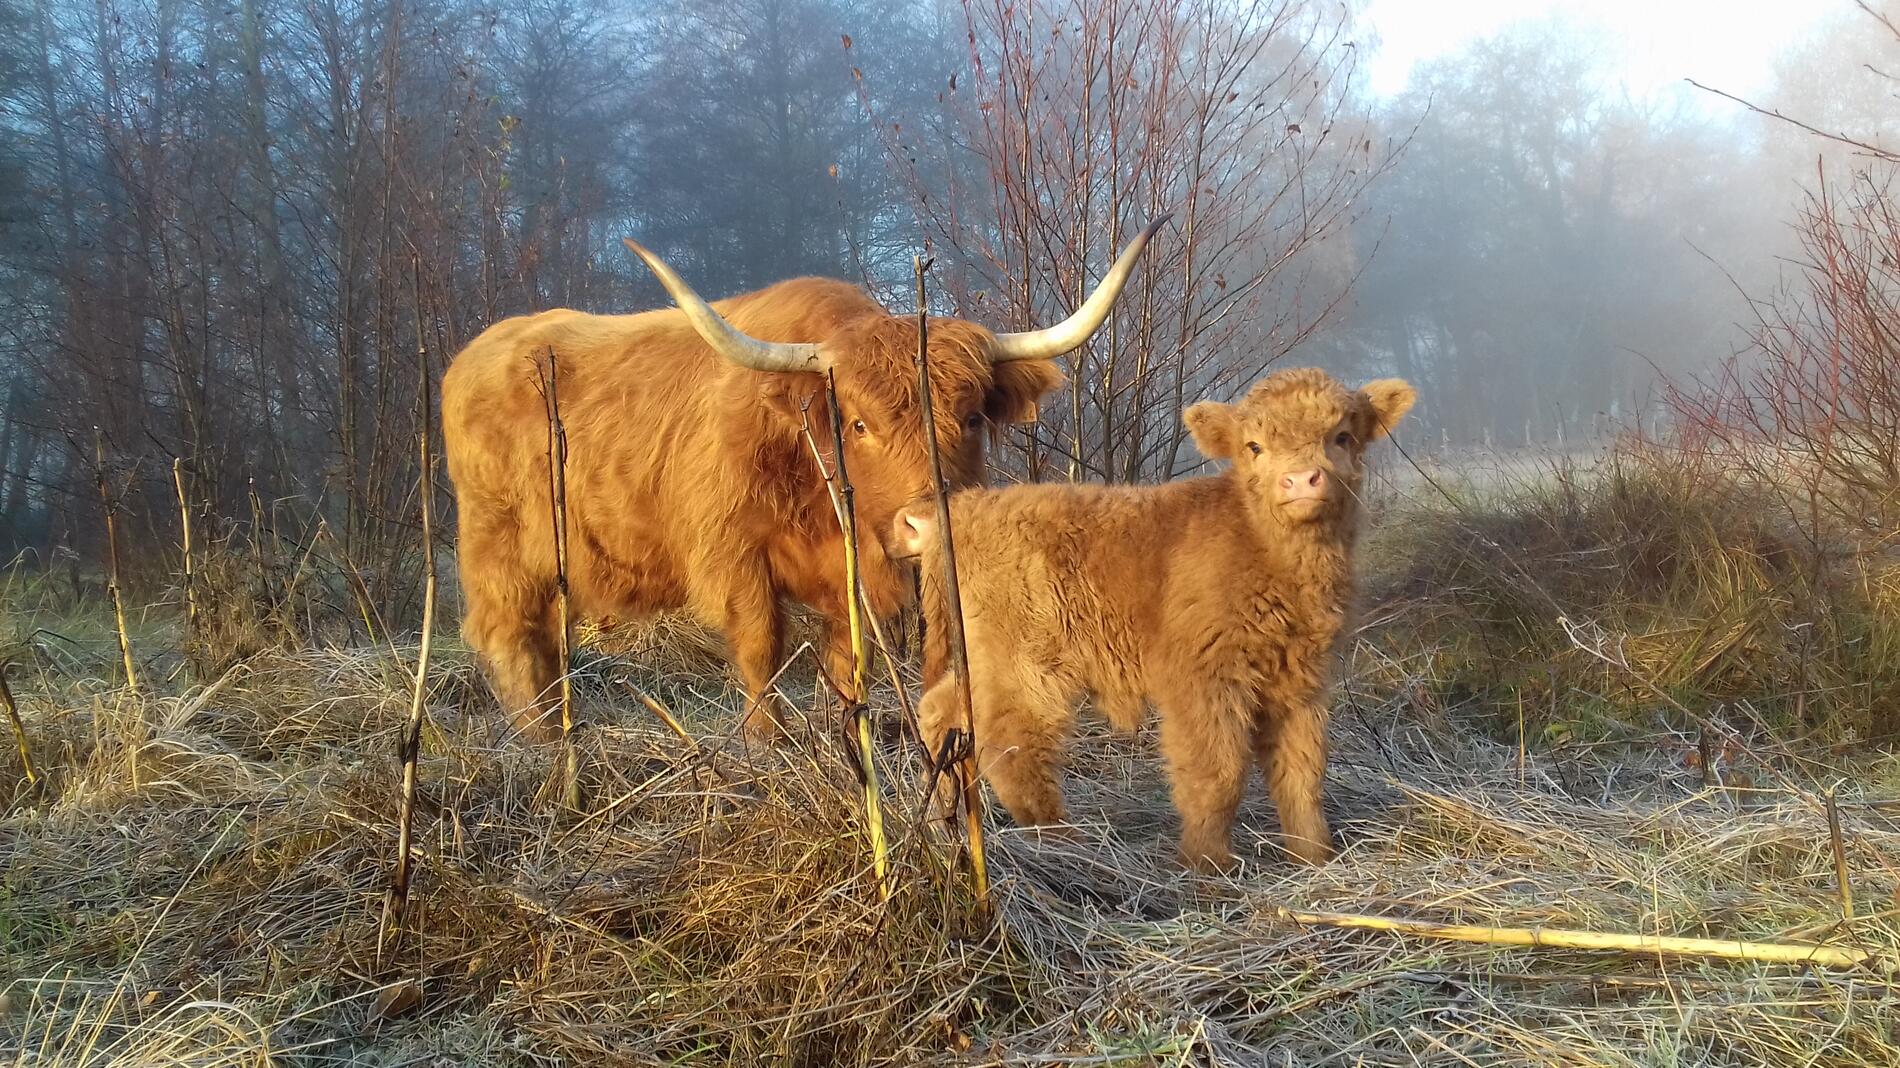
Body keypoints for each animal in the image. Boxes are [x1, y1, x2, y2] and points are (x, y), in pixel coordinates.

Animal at [440, 221, 1168, 741]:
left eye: (969, 418)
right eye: (858, 423)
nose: (926, 524)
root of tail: (477, 353)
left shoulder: (856, 580)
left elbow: (847, 665)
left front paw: (844, 740)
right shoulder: (736, 558)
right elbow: (762, 652)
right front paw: (767, 744)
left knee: (542, 642)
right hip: (499, 547)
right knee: (508, 636)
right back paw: (538, 739)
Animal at [896, 368, 1416, 869]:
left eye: (1342, 436)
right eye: (1254, 446)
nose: (1302, 480)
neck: (1264, 549)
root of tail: (960, 511)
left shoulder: (1302, 681)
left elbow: (1302, 772)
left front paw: (1314, 858)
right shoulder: (1203, 680)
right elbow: (1217, 773)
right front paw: (1206, 867)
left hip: (981, 659)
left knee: (940, 712)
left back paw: (944, 820)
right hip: (1023, 666)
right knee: (1012, 744)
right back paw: (1062, 844)